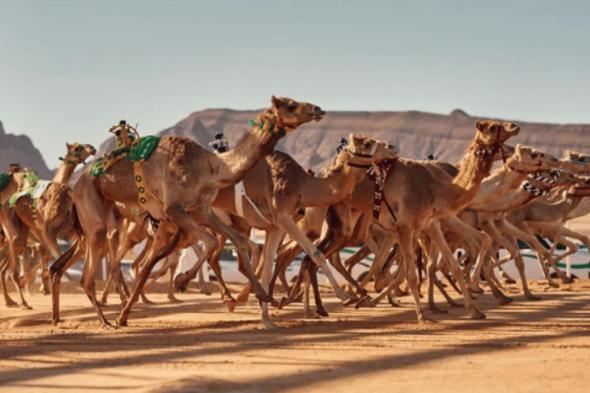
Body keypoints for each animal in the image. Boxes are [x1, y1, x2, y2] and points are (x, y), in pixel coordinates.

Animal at [51, 94, 332, 324]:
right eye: (291, 104)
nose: (318, 109)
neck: (210, 167)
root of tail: (79, 181)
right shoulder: (175, 209)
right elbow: (209, 242)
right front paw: (184, 281)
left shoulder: (202, 210)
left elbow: (238, 242)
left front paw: (262, 295)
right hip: (95, 209)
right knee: (98, 267)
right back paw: (106, 318)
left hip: (102, 215)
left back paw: (111, 314)